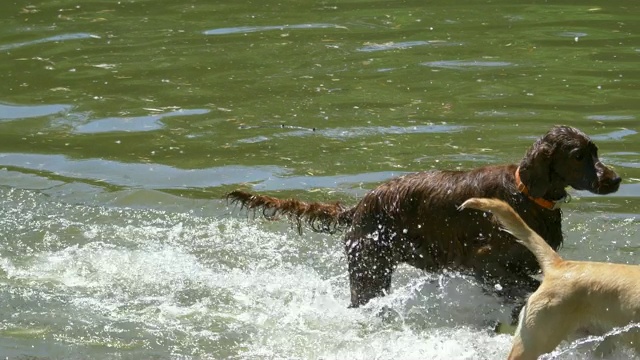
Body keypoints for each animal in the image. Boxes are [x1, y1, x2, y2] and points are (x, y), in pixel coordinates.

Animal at [225, 126, 620, 306]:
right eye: (577, 155)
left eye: (595, 151)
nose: (615, 180)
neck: (526, 194)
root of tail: (359, 207)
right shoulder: (483, 263)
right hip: (370, 269)